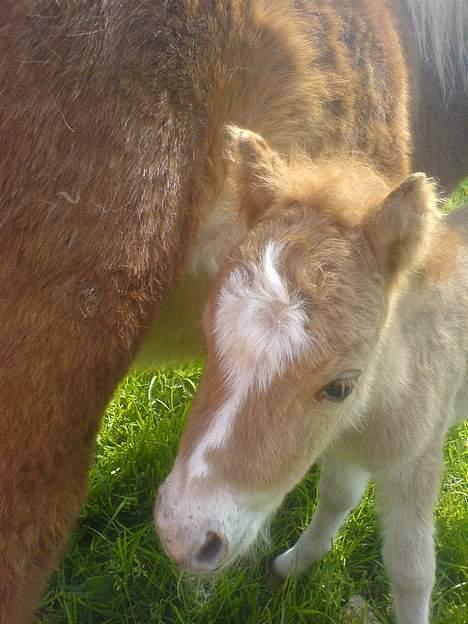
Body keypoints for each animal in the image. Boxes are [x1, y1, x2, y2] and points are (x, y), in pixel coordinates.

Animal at [157, 129, 468, 620]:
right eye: (208, 335)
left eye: (340, 387)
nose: (183, 537)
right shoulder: (337, 445)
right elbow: (338, 496)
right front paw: (294, 563)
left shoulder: (415, 461)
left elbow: (412, 570)